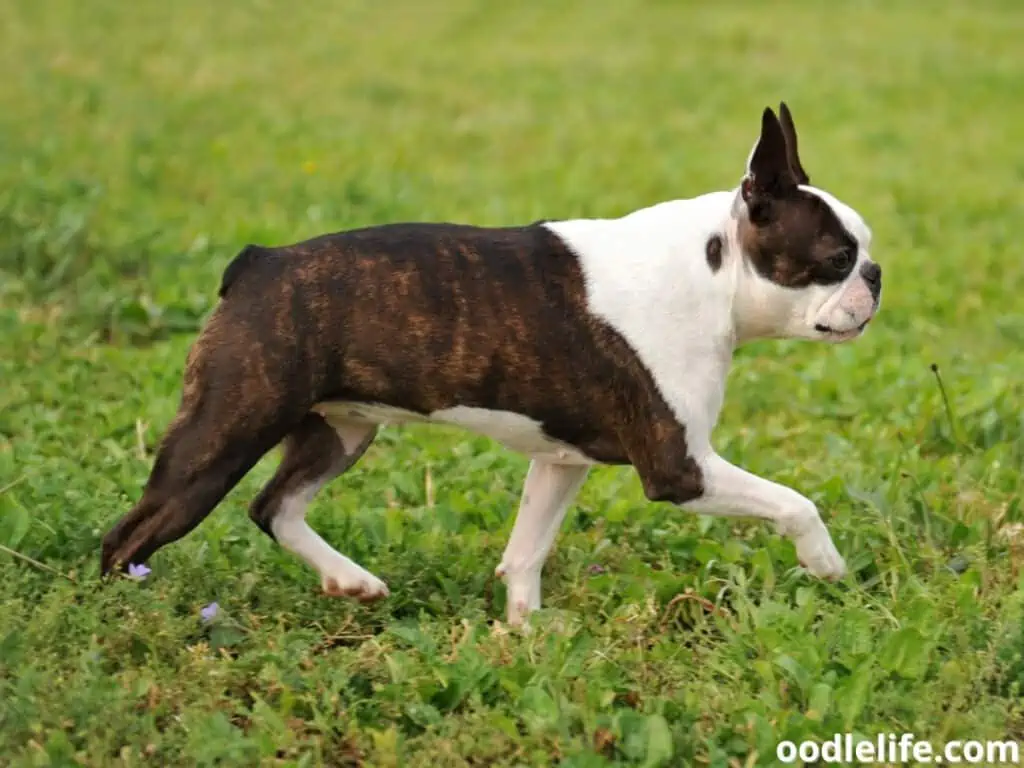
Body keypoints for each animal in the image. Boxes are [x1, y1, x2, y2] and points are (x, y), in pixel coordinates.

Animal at [101, 103, 880, 626]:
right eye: (836, 258)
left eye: (863, 252)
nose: (875, 276)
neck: (713, 272)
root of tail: (257, 263)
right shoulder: (680, 469)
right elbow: (796, 501)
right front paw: (827, 564)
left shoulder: (560, 460)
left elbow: (527, 548)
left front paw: (526, 632)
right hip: (222, 435)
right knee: (129, 534)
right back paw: (122, 613)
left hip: (339, 430)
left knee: (275, 506)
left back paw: (351, 582)